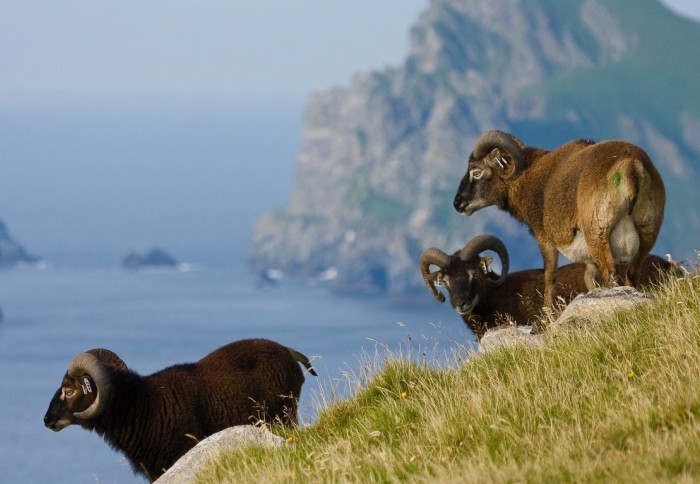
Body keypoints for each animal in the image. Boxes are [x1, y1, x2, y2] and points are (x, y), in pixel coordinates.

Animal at [454, 130, 668, 308]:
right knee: (631, 274)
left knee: (611, 275)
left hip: (598, 233)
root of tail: (630, 166)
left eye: (476, 172)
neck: (530, 180)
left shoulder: (545, 239)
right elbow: (589, 279)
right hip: (647, 232)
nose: (458, 203)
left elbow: (550, 278)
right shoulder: (589, 259)